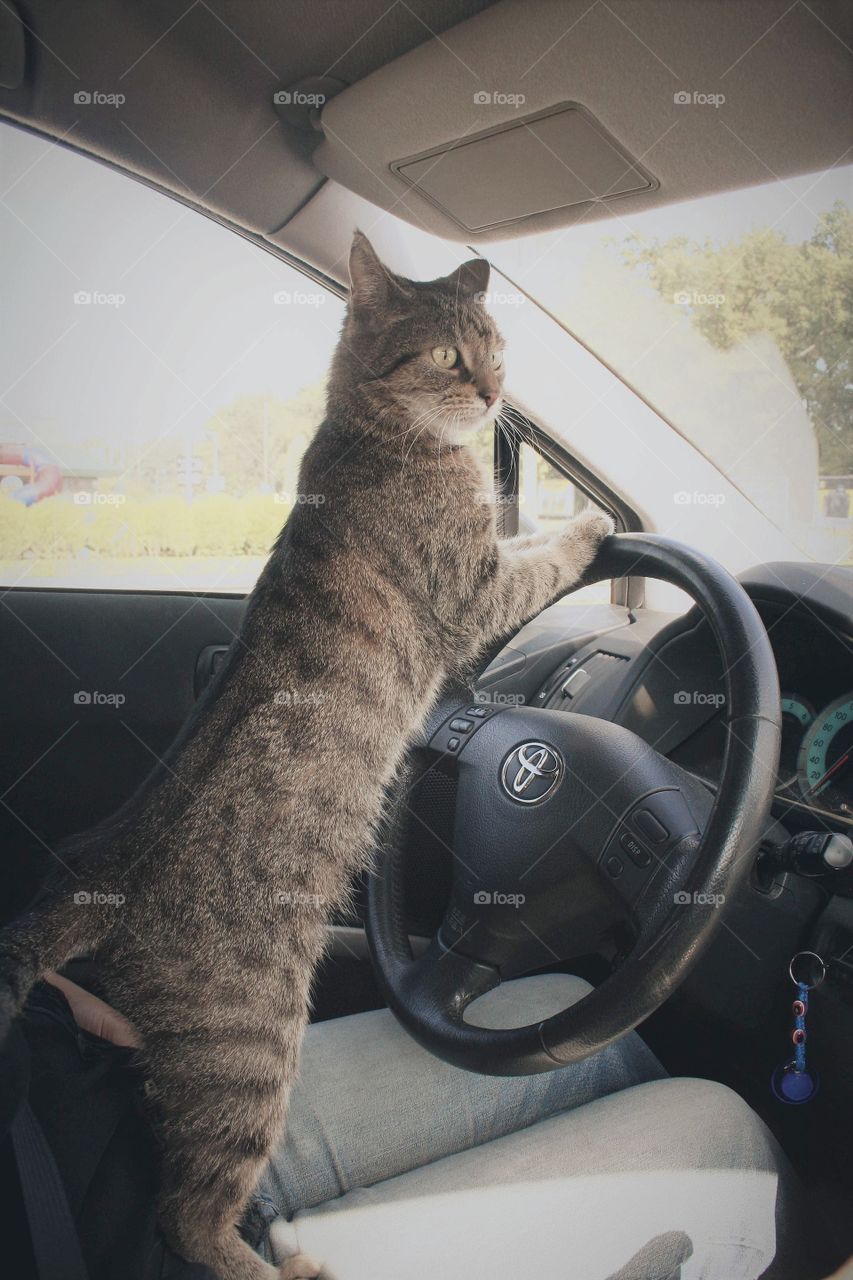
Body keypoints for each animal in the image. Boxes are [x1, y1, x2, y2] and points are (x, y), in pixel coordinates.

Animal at [0, 232, 612, 1280]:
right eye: (447, 354)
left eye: (495, 343)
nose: (496, 392)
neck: (371, 429)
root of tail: (93, 875)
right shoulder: (478, 588)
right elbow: (541, 556)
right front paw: (594, 525)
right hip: (249, 1055)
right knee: (188, 1217)